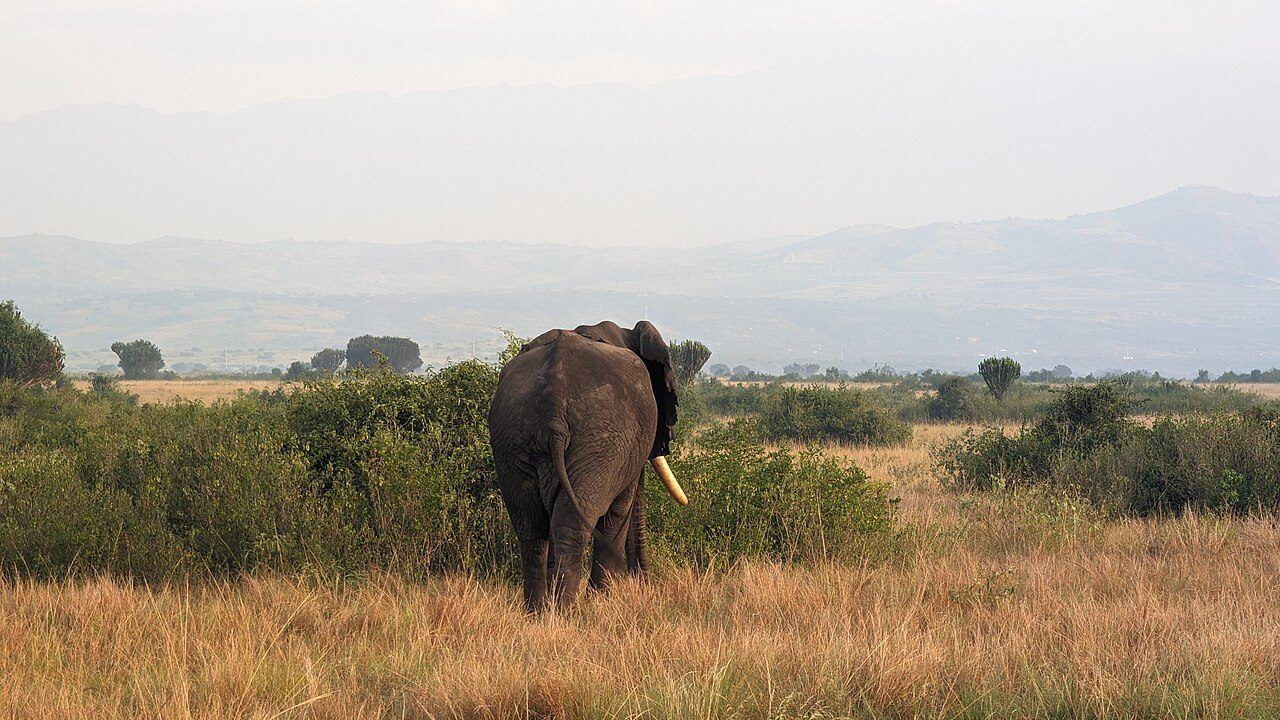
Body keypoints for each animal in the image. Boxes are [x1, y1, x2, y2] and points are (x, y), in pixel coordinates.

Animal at [488, 320, 688, 611]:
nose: (645, 587)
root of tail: (554, 399)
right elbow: (619, 512)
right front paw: (602, 602)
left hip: (513, 436)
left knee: (530, 525)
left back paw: (537, 613)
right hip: (598, 442)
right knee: (573, 524)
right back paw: (568, 612)